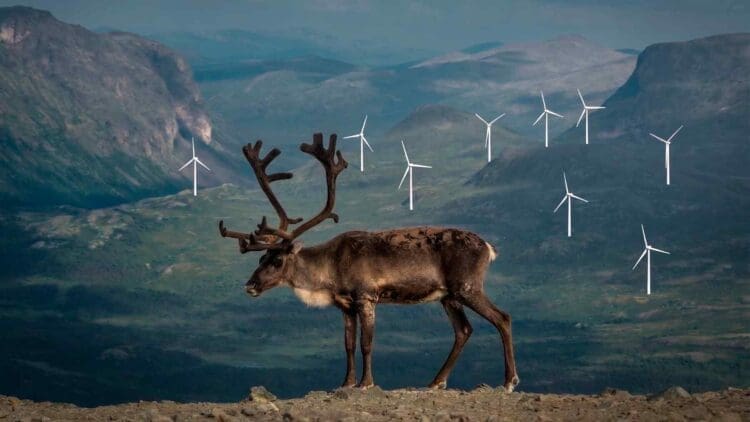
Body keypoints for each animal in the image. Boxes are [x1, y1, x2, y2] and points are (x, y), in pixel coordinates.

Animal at [218, 133, 519, 392]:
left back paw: (508, 381)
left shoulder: (366, 297)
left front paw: (366, 383)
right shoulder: (345, 306)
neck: (330, 268)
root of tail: (488, 247)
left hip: (467, 287)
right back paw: (436, 382)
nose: (250, 285)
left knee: (502, 318)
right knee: (463, 330)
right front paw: (346, 382)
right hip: (448, 296)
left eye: (278, 260)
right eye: (261, 257)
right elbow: (348, 345)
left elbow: (366, 344)